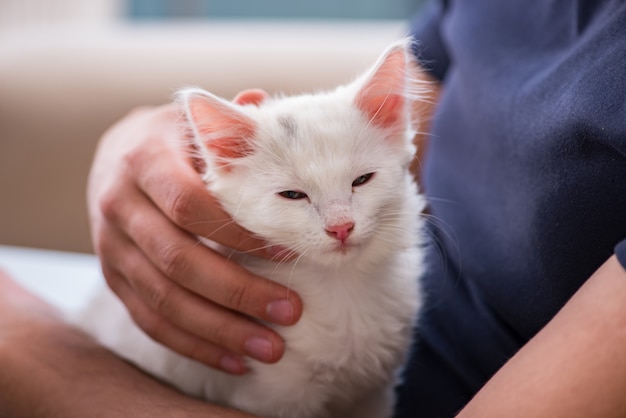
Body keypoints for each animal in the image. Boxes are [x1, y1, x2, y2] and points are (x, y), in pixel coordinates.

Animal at [72, 39, 424, 418]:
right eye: (293, 195)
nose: (341, 227)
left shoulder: (374, 393)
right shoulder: (274, 393)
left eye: (362, 180)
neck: (343, 289)